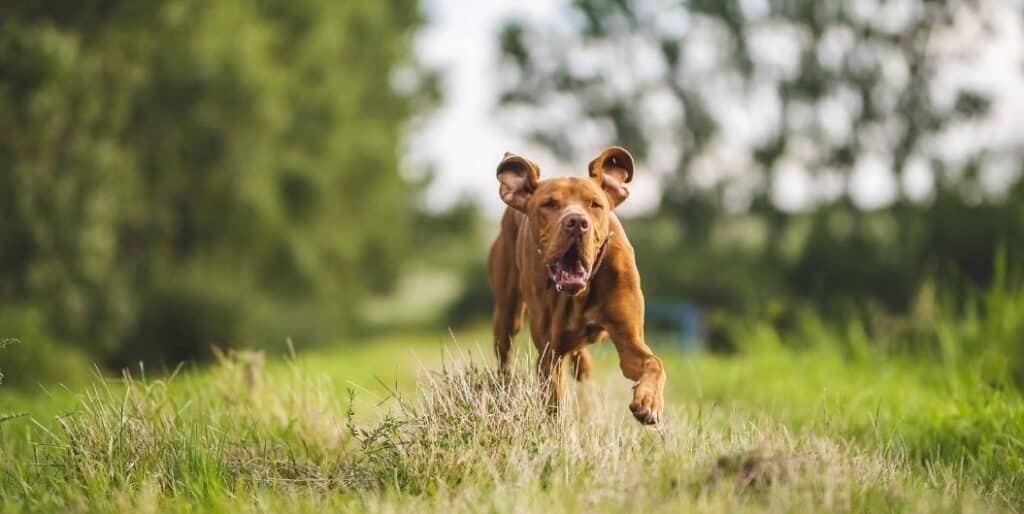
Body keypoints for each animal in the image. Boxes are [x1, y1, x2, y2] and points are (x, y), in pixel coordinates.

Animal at [489, 146, 667, 423]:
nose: (576, 222)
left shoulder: (629, 340)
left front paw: (648, 401)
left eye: (595, 204)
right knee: (504, 356)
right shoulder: (549, 354)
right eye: (549, 204)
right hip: (508, 313)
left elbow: (654, 363)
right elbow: (555, 405)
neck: (580, 293)